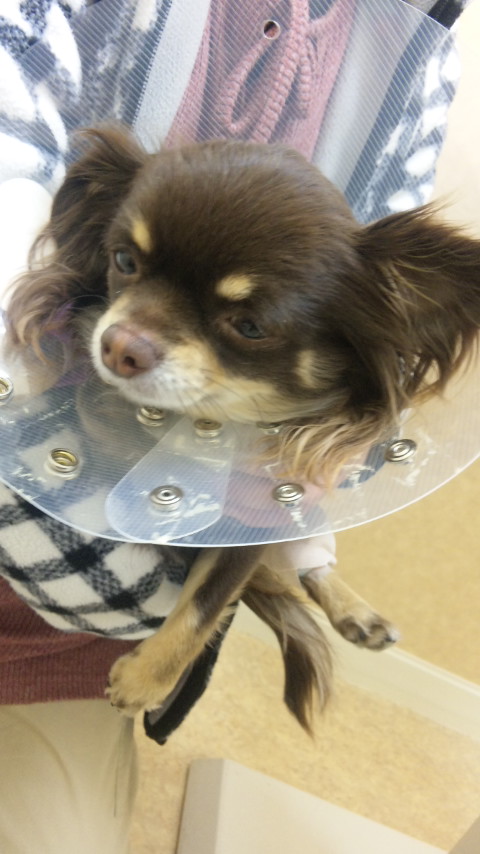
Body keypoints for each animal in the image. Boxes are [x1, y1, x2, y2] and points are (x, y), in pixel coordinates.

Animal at [6, 126, 480, 731]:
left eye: (250, 326)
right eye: (123, 260)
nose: (118, 345)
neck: (204, 422)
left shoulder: (245, 532)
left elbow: (207, 601)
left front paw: (146, 678)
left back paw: (354, 611)